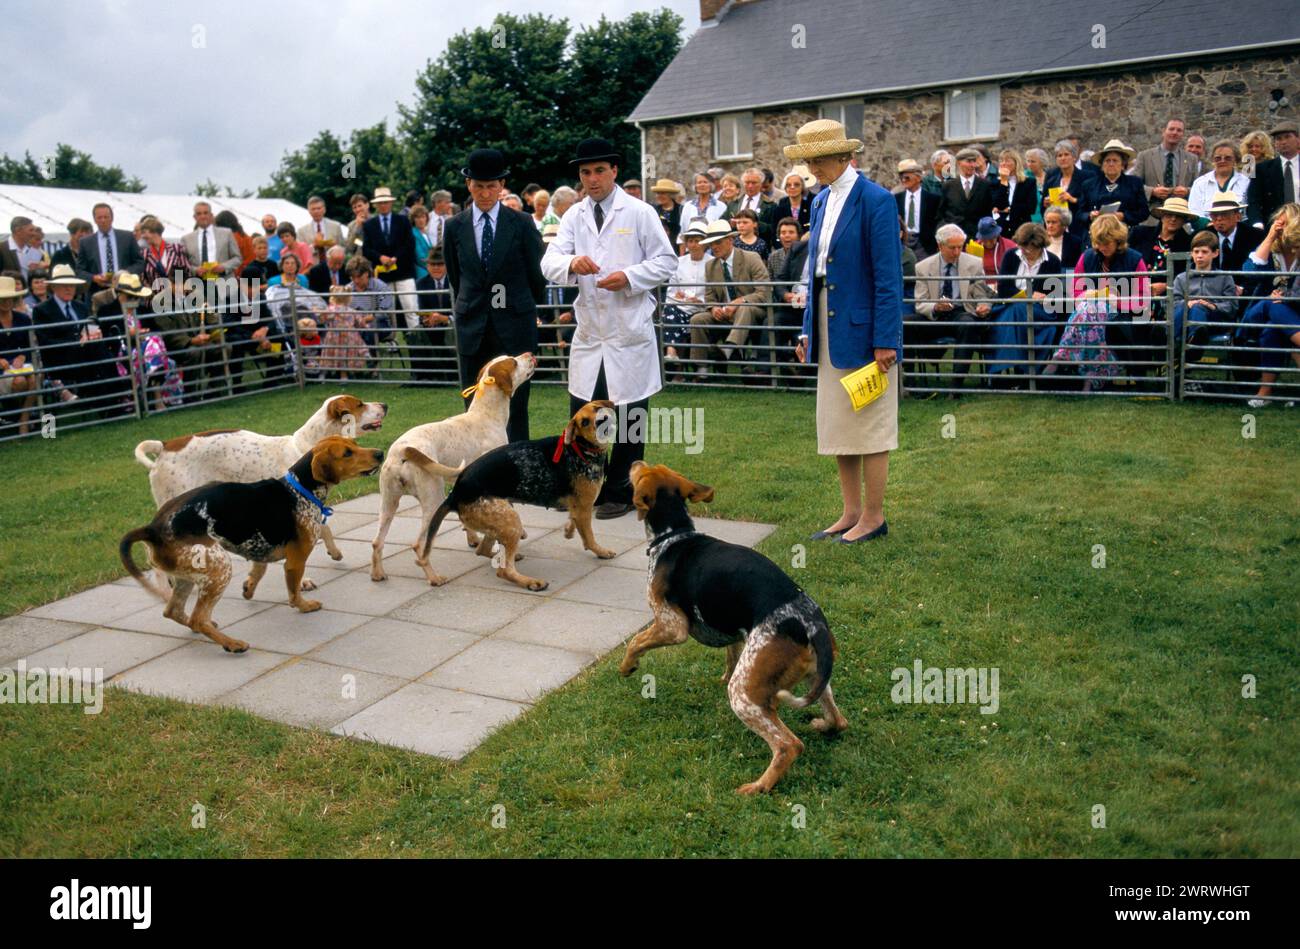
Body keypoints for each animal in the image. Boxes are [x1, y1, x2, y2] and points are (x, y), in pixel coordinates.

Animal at [118, 434, 382, 650]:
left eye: (355, 444)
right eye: (347, 453)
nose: (380, 453)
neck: (300, 489)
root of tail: (153, 528)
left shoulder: (258, 549)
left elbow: (258, 571)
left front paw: (249, 588)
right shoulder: (295, 561)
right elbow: (294, 591)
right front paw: (304, 606)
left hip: (187, 575)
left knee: (174, 611)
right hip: (219, 568)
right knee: (197, 618)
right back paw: (232, 644)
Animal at [132, 392, 384, 569]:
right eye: (360, 404)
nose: (385, 405)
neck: (304, 448)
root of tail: (163, 446)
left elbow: (326, 528)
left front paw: (334, 551)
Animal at [369, 351, 535, 579]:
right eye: (513, 362)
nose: (530, 354)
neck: (486, 415)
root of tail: (401, 451)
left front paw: (476, 540)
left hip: (388, 503)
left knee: (377, 542)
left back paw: (378, 574)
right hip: (432, 500)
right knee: (418, 545)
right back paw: (434, 578)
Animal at [418, 397, 616, 587]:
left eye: (598, 408)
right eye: (584, 422)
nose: (603, 420)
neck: (579, 448)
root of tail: (455, 493)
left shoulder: (578, 507)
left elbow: (574, 521)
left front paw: (569, 530)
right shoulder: (584, 507)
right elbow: (589, 537)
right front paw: (601, 551)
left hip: (497, 523)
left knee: (482, 550)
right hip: (511, 522)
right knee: (504, 571)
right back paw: (532, 582)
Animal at [621, 460, 852, 790]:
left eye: (642, 472)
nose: (635, 462)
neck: (674, 534)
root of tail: (812, 624)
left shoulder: (671, 626)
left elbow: (636, 641)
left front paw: (627, 666)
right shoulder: (736, 634)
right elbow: (730, 657)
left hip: (745, 693)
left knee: (788, 744)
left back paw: (759, 786)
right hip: (815, 676)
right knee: (837, 719)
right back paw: (823, 725)